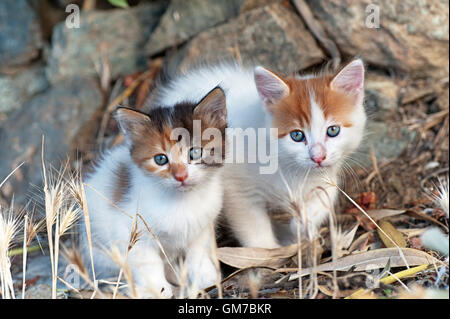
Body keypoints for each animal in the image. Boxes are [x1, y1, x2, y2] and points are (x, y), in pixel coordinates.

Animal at [79, 87, 227, 298]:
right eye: (160, 159)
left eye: (195, 153)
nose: (181, 176)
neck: (182, 201)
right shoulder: (131, 232)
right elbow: (147, 263)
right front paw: (158, 289)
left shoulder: (202, 226)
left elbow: (197, 253)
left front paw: (205, 276)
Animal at [149, 60, 368, 250]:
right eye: (297, 135)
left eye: (333, 131)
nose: (318, 157)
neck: (290, 167)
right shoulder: (238, 188)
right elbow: (252, 224)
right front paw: (267, 251)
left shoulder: (327, 175)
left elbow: (324, 198)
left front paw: (303, 225)